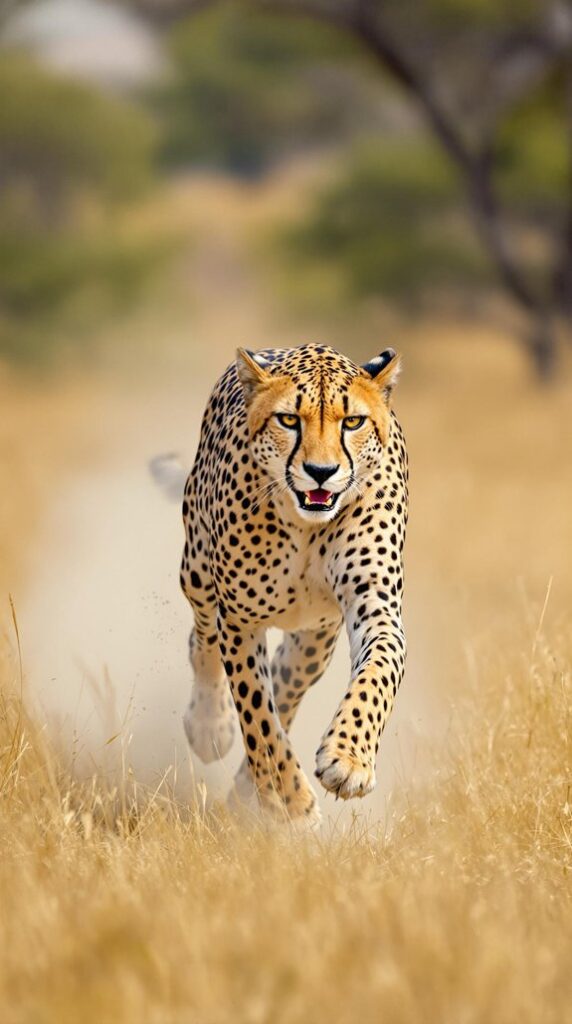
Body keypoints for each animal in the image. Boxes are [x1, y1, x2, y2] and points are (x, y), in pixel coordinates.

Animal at [174, 343, 408, 829]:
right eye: (288, 420)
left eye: (352, 421)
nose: (321, 471)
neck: (307, 525)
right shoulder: (239, 620)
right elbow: (257, 715)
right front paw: (290, 800)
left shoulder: (375, 604)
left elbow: (378, 674)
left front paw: (349, 759)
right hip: (199, 574)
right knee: (202, 642)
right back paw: (209, 726)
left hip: (314, 640)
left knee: (288, 682)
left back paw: (245, 787)